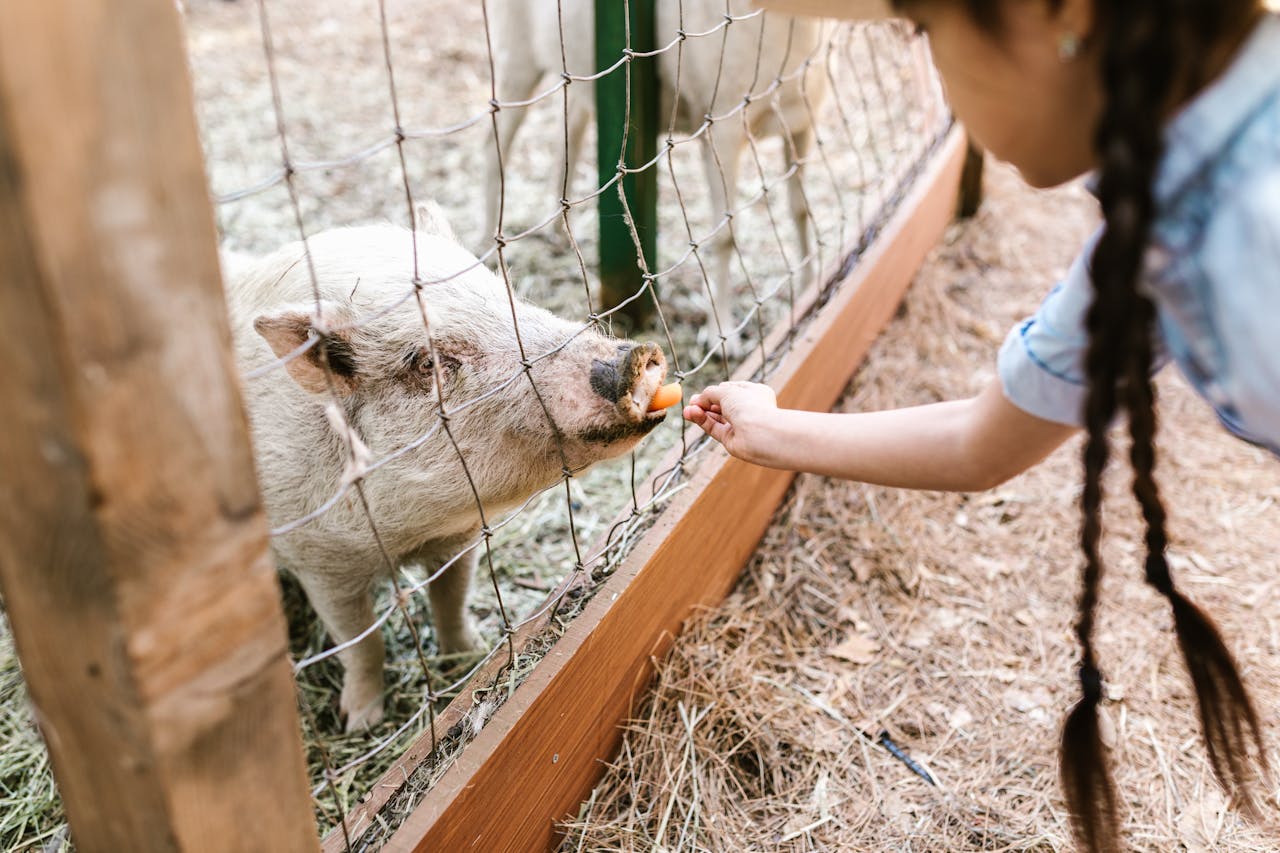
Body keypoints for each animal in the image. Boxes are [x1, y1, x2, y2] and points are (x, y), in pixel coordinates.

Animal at [226, 204, 670, 731]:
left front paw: (469, 657)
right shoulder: (319, 562)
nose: (634, 356)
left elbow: (452, 599)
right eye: (429, 363)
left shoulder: (460, 539)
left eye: (506, 296)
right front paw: (361, 721)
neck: (406, 537)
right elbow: (361, 644)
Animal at [484, 0, 829, 348]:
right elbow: (725, 234)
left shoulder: (804, 122)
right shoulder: (722, 128)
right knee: (495, 145)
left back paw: (558, 231)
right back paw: (488, 250)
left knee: (568, 134)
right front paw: (721, 336)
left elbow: (801, 211)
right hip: (515, 59)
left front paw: (808, 290)